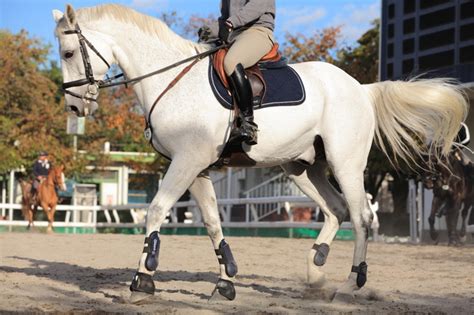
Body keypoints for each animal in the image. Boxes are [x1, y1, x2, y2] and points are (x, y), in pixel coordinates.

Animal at [51, 3, 466, 304]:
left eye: (69, 52)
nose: (74, 107)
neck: (171, 80)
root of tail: (361, 88)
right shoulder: (198, 169)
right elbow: (212, 223)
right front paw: (226, 281)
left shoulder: (187, 162)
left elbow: (155, 210)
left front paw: (143, 279)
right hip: (302, 168)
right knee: (337, 209)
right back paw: (315, 273)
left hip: (346, 163)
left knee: (362, 216)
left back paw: (350, 285)